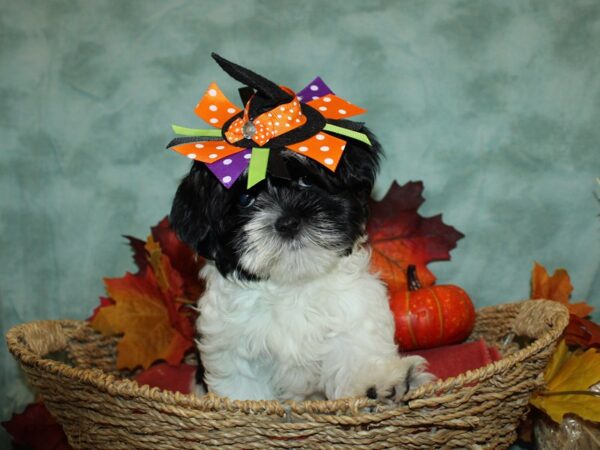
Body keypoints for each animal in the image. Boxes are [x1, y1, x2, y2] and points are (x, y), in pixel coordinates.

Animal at [169, 129, 432, 400]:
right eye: (244, 199)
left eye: (306, 180)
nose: (288, 222)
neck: (293, 284)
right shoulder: (232, 348)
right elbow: (246, 392)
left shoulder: (353, 310)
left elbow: (357, 351)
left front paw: (379, 382)